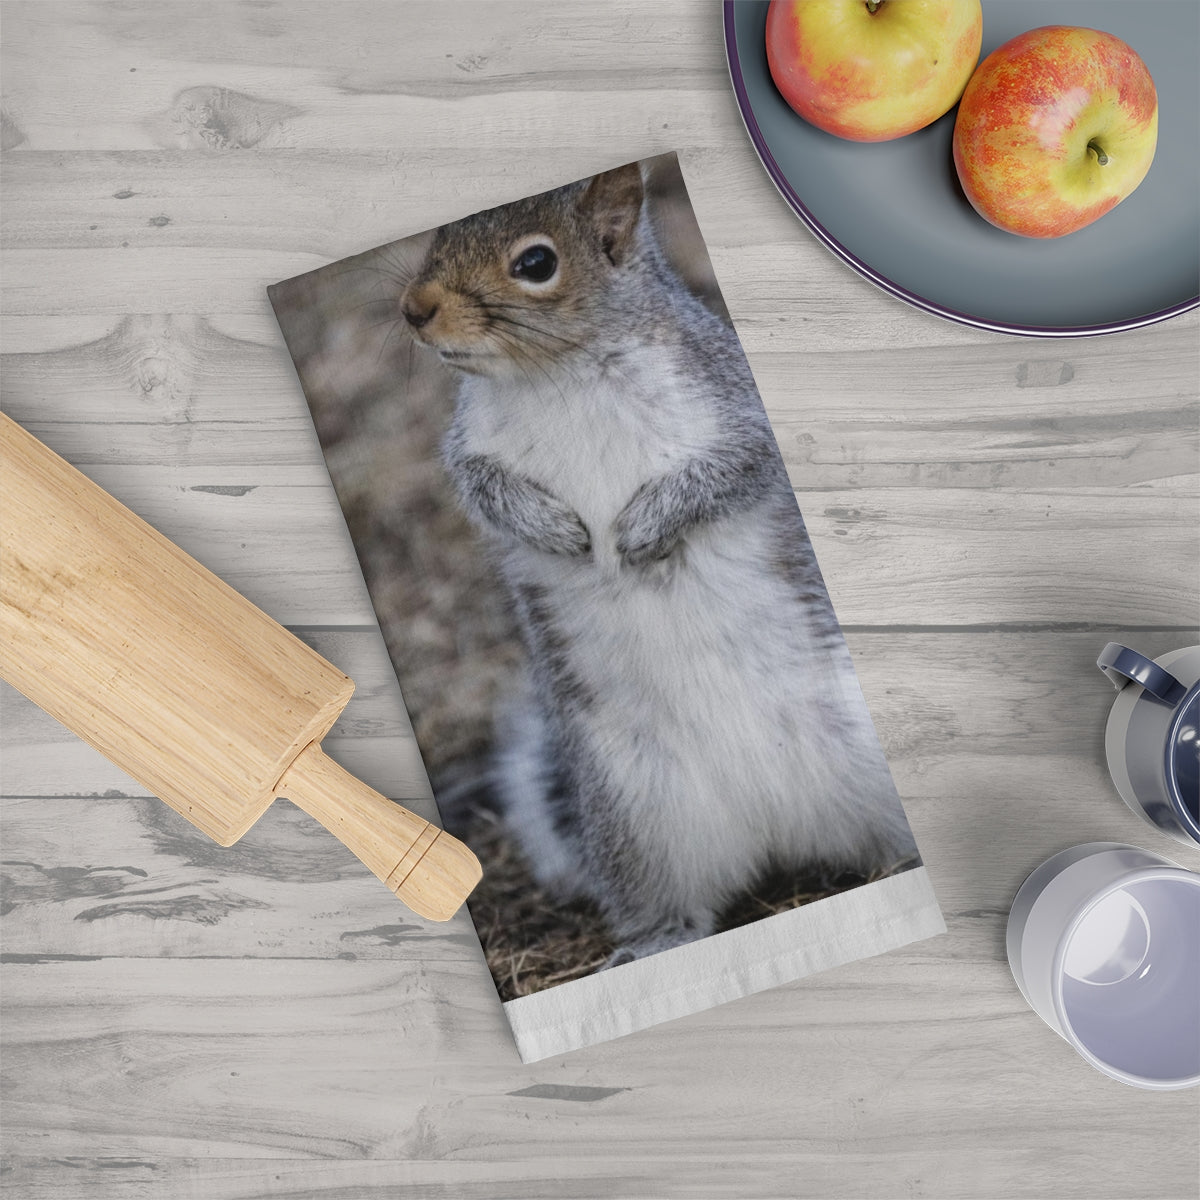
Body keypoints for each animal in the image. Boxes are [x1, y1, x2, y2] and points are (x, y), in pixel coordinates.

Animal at [401, 162, 918, 965]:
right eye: (439, 237)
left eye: (536, 263)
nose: (414, 310)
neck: (560, 373)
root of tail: (773, 831)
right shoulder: (470, 447)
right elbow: (485, 490)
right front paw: (557, 530)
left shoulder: (732, 402)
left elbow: (734, 468)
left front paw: (641, 530)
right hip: (636, 817)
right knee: (669, 903)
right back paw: (656, 943)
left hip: (858, 757)